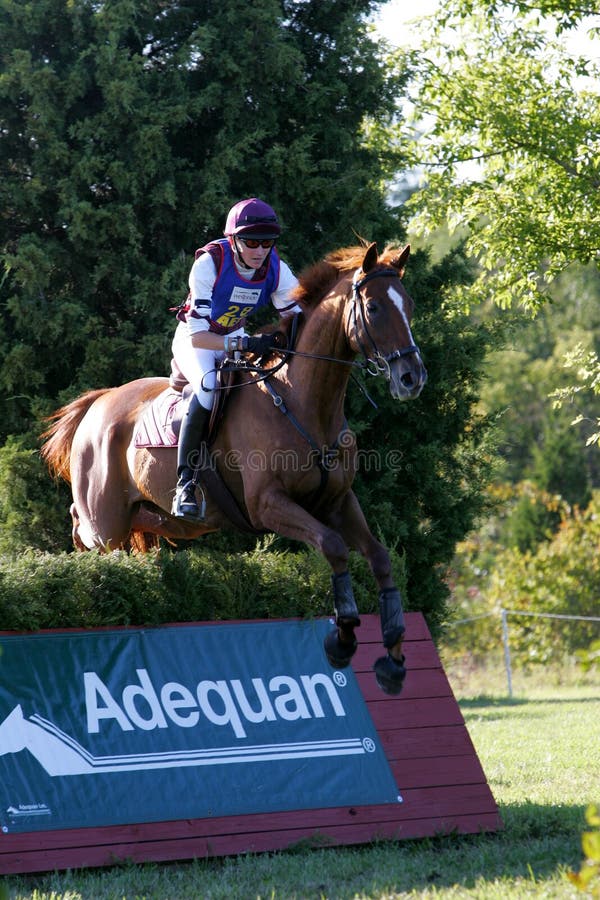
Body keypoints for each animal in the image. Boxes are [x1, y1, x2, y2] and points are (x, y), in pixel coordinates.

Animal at [41, 242, 427, 694]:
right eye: (374, 307)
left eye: (409, 305)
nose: (412, 378)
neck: (303, 402)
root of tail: (98, 403)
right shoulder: (269, 505)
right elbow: (333, 546)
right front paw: (343, 637)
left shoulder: (337, 501)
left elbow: (380, 558)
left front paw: (394, 659)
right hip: (106, 522)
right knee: (83, 528)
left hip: (161, 520)